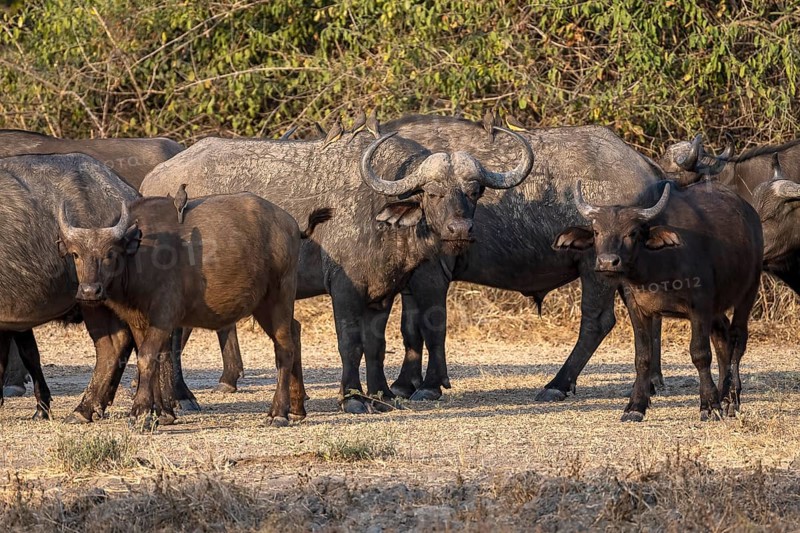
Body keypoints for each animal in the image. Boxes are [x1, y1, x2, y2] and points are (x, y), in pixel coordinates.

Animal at [554, 180, 763, 421]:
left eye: (632, 232)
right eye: (597, 231)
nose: (607, 262)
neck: (657, 269)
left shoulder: (700, 308)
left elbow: (700, 354)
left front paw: (709, 406)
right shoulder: (638, 309)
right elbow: (643, 357)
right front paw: (635, 406)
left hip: (748, 292)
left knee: (737, 340)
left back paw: (731, 400)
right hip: (718, 308)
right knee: (722, 339)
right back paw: (723, 394)